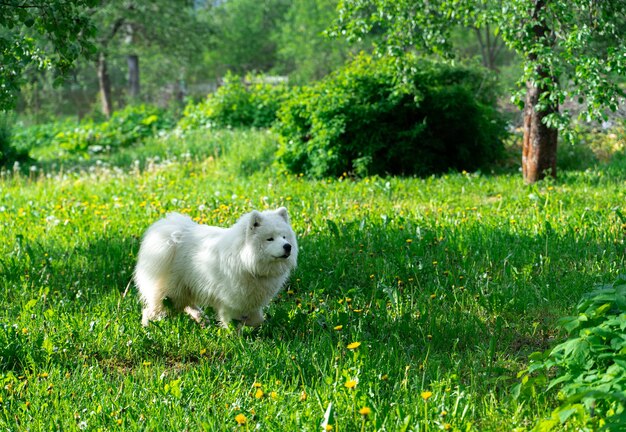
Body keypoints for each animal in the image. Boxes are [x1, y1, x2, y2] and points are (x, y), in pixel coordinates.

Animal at [133, 208, 298, 328]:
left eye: (284, 237)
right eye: (270, 239)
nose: (287, 246)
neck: (247, 262)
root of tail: (174, 235)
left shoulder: (250, 299)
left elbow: (256, 318)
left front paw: (256, 325)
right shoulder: (230, 300)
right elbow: (232, 322)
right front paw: (236, 339)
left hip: (185, 289)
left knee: (189, 305)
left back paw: (202, 319)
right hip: (170, 293)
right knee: (150, 311)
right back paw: (148, 328)